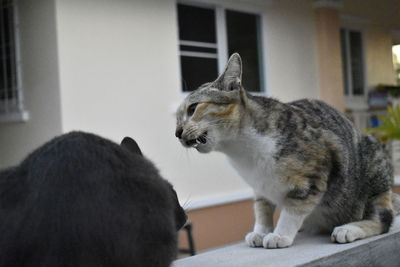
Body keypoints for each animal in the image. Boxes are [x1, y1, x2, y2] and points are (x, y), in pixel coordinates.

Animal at [176, 54, 400, 249]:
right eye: (177, 118)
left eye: (193, 108)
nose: (177, 132)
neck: (242, 151)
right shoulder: (260, 185)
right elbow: (262, 207)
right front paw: (261, 231)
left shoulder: (315, 171)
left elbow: (293, 209)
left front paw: (280, 234)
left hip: (374, 165)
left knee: (383, 219)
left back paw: (349, 229)